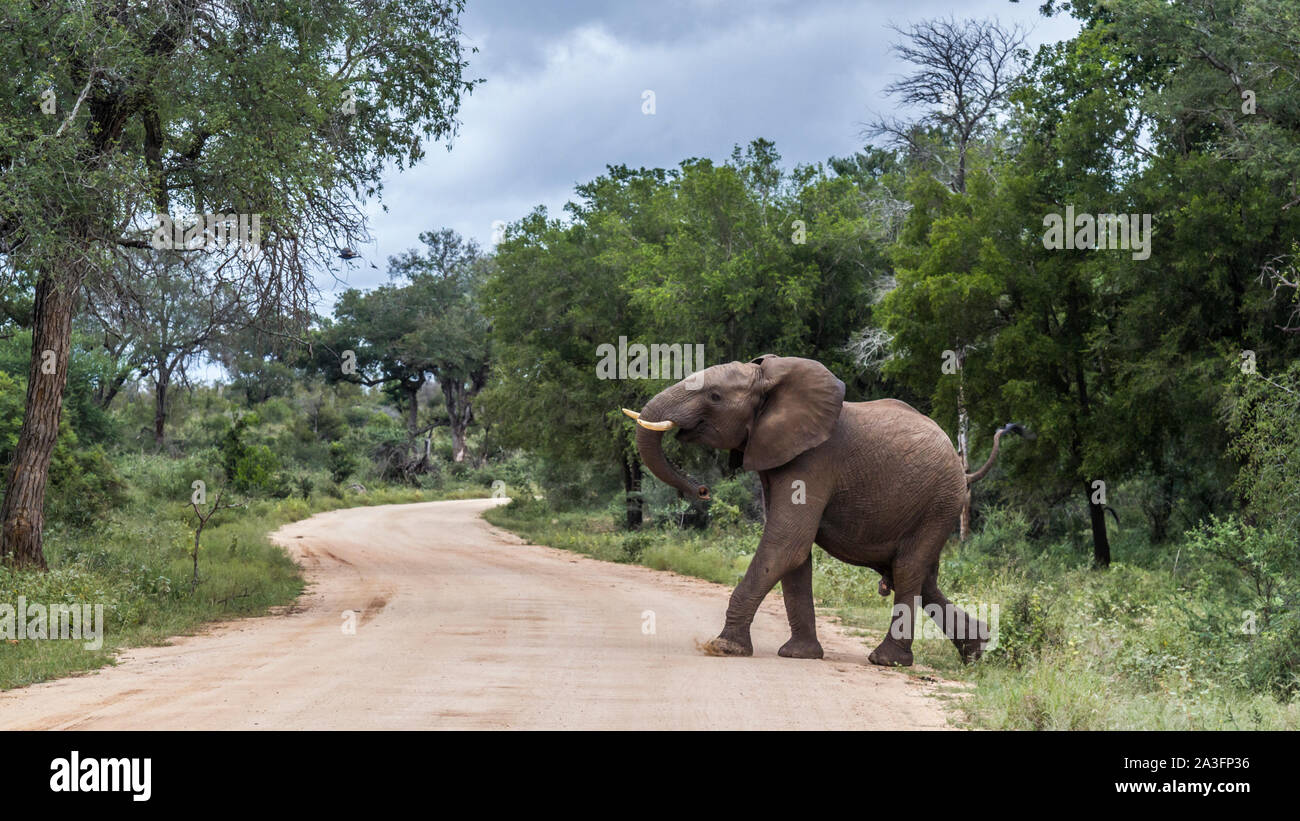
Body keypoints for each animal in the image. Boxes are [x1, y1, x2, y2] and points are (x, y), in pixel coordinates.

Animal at [623, 354, 1024, 667]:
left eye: (715, 395)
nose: (703, 490)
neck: (771, 381)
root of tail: (962, 467)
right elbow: (795, 555)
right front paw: (798, 655)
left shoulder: (813, 461)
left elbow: (787, 544)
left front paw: (722, 647)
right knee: (921, 578)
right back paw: (977, 651)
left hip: (939, 502)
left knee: (909, 570)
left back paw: (887, 661)